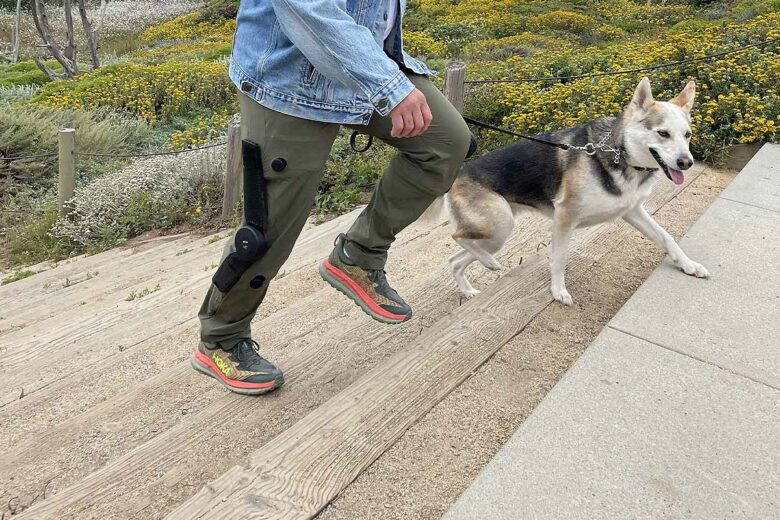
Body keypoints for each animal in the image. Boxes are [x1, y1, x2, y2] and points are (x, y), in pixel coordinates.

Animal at [444, 77, 708, 304]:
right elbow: (559, 259)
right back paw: (489, 264)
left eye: (687, 135)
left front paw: (688, 264)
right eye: (663, 133)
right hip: (500, 225)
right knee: (457, 237)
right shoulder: (564, 217)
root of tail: (459, 174)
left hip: (494, 236)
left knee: (456, 260)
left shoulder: (632, 211)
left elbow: (666, 237)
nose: (687, 163)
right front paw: (558, 291)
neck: (619, 152)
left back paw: (471, 286)